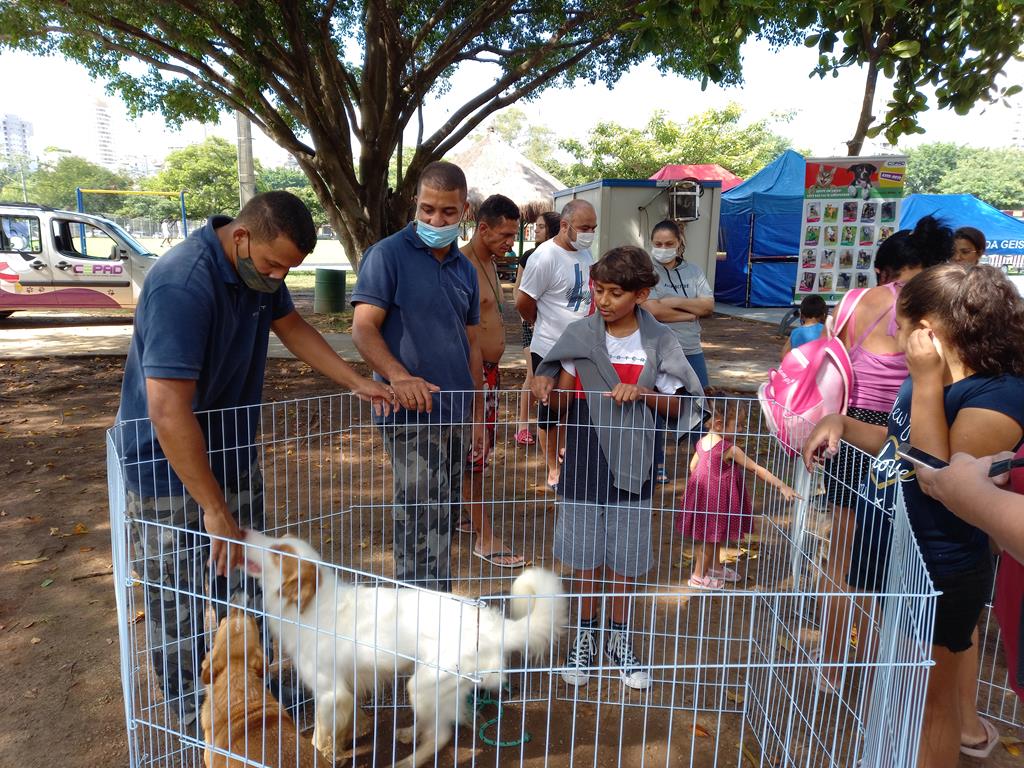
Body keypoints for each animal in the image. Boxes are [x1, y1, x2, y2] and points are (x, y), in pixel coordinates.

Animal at [244, 532, 573, 768]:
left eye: (276, 552)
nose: (243, 532)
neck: (313, 605)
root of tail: (493, 624)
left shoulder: (329, 693)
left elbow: (317, 740)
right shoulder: (348, 689)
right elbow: (341, 729)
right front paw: (343, 744)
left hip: (423, 685)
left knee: (442, 734)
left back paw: (409, 761)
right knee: (441, 721)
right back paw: (411, 733)